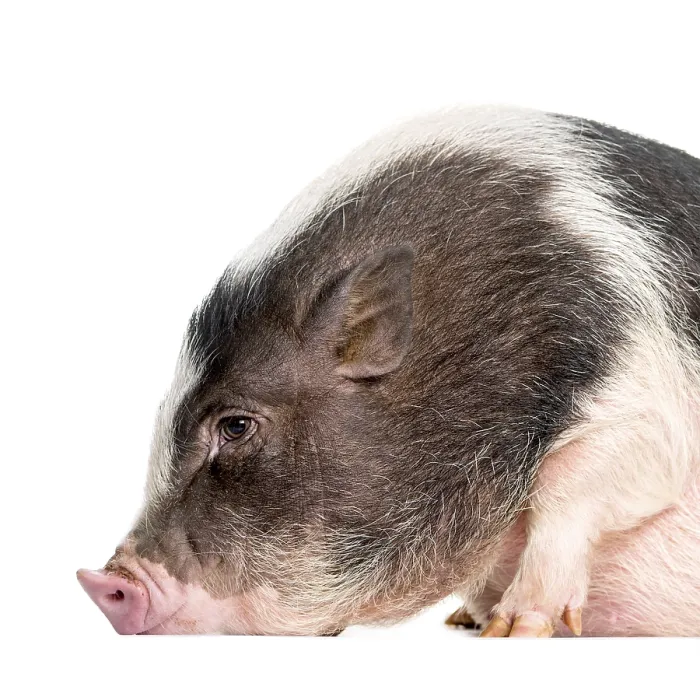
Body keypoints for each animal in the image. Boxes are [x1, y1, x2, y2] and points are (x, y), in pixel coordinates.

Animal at [77, 106, 700, 636]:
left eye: (235, 425)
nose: (102, 583)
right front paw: (479, 621)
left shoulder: (643, 400)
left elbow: (577, 480)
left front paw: (515, 629)